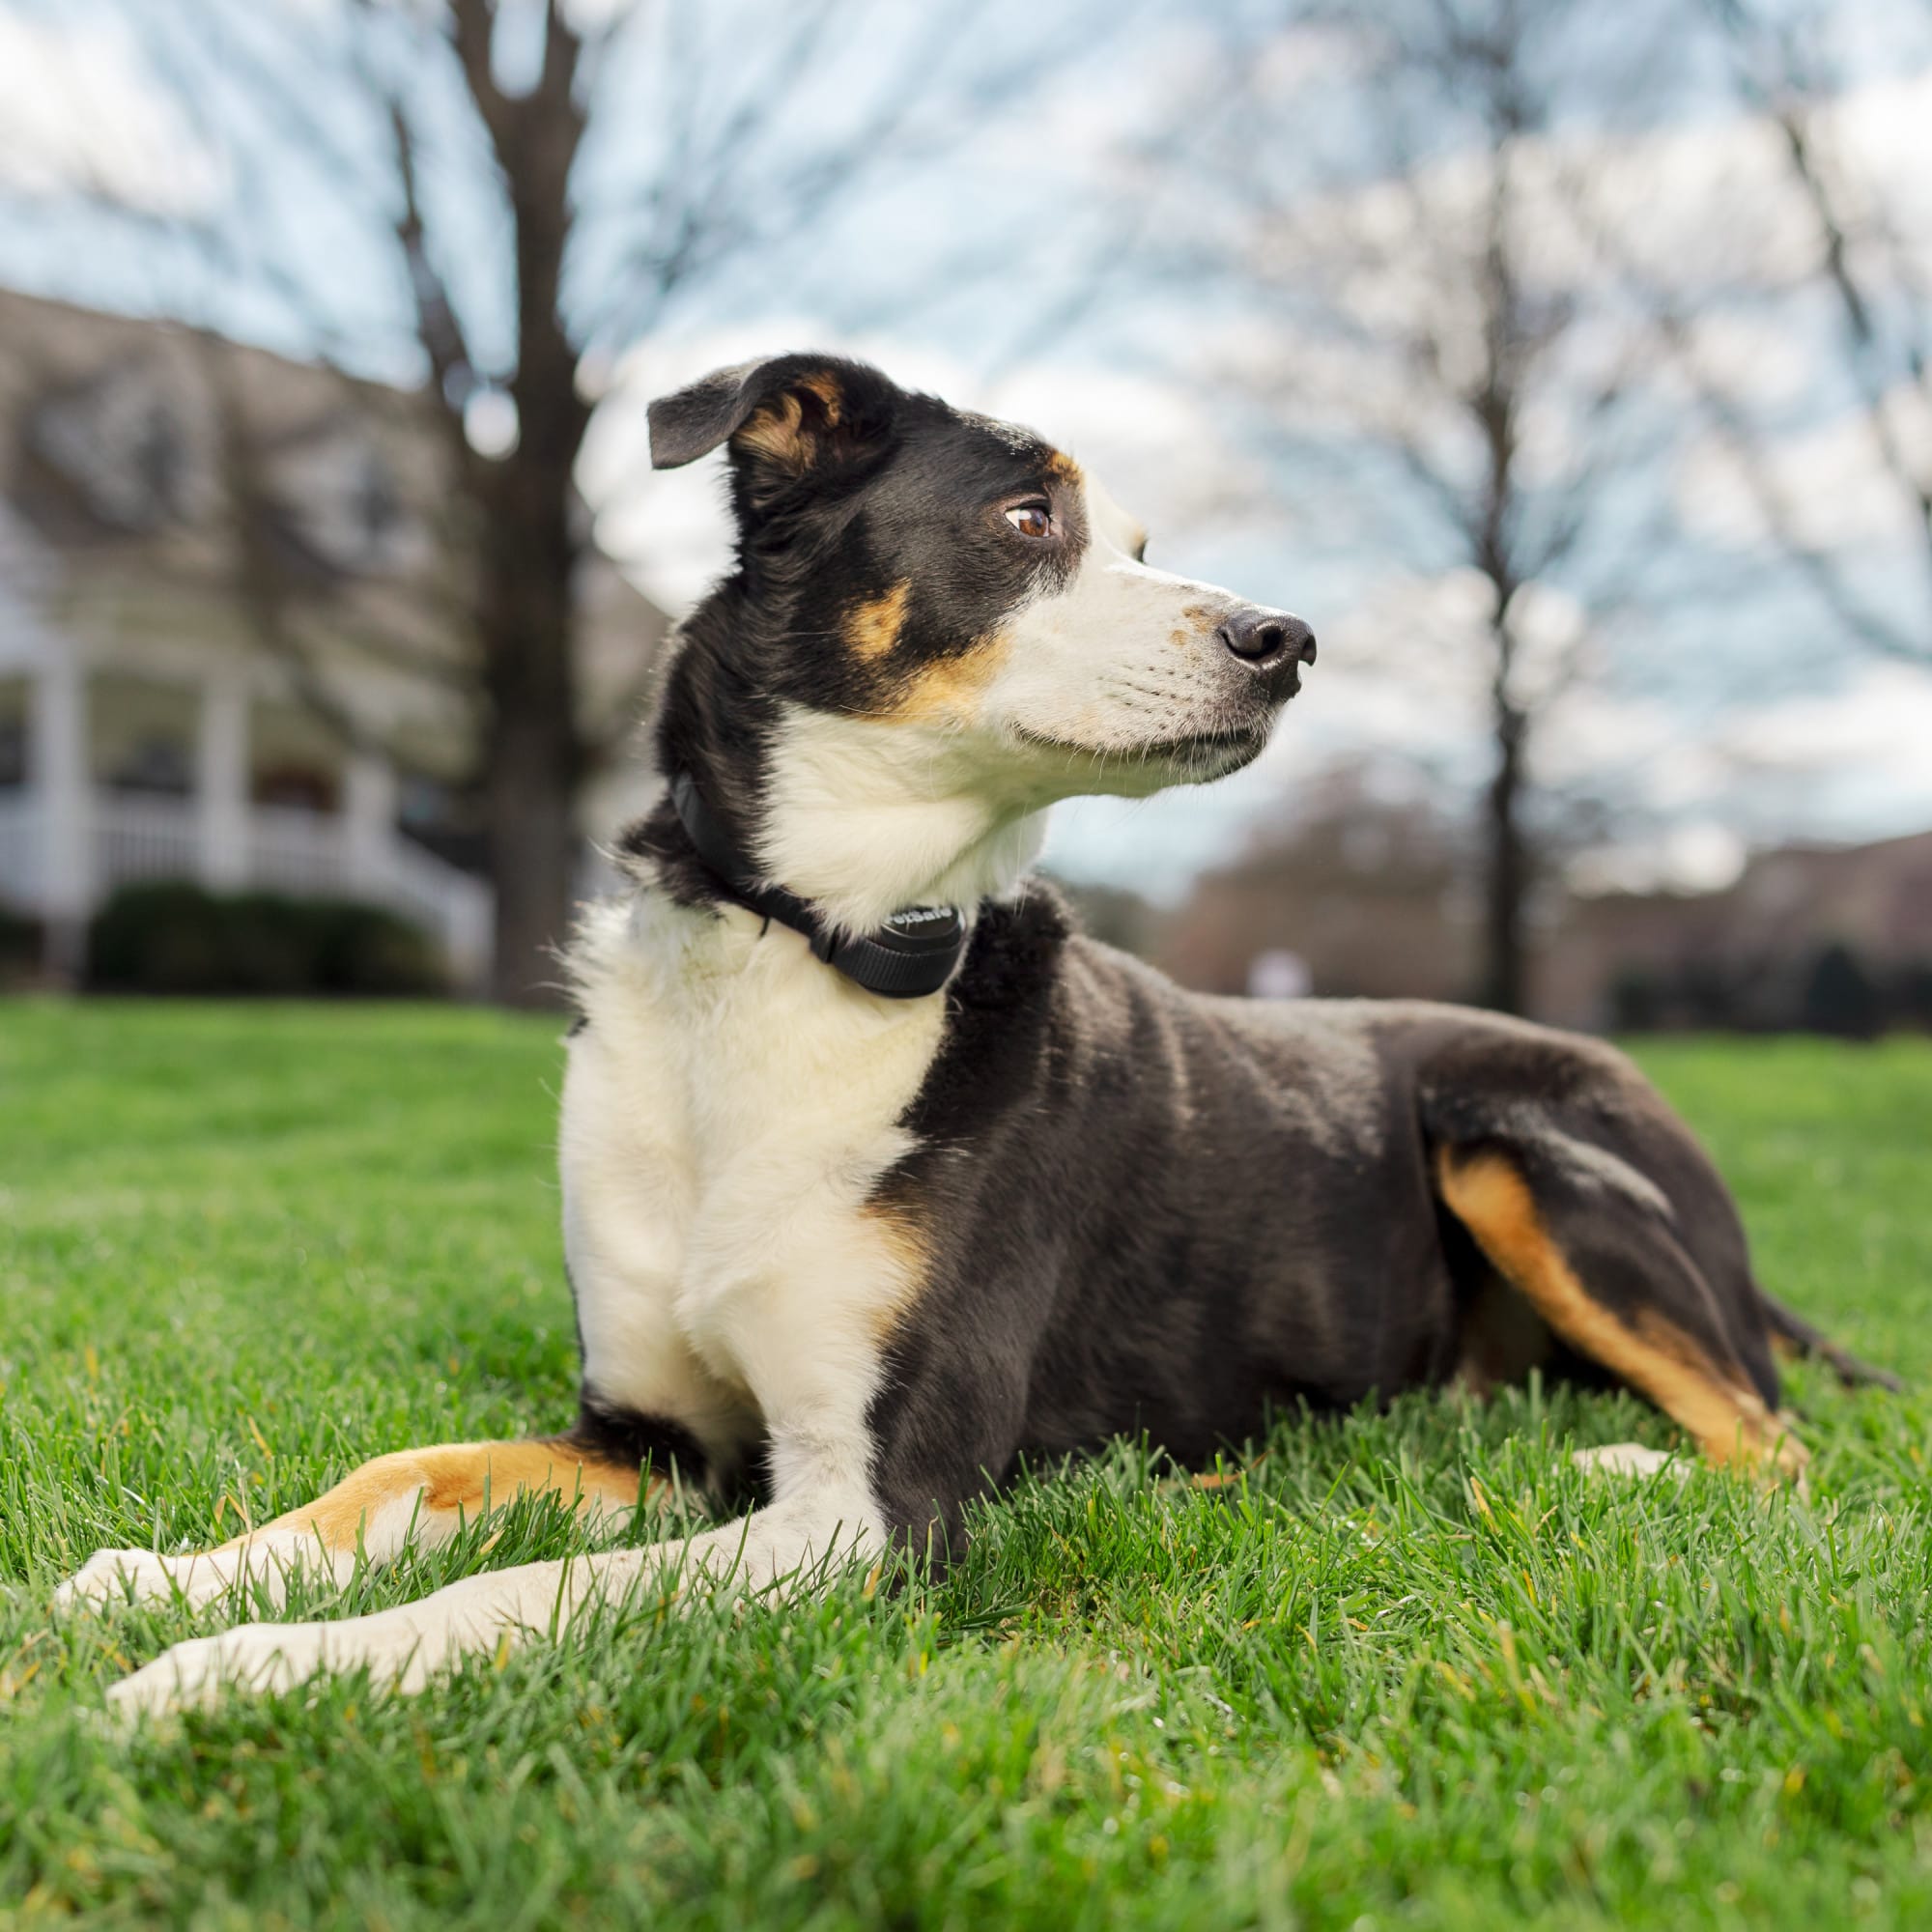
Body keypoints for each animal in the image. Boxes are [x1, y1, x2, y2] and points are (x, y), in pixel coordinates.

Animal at [52, 355, 1893, 1716]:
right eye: (1025, 519)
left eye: (1139, 541)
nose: (1288, 641)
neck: (807, 949)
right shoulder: (646, 1441)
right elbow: (399, 1480)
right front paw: (175, 1578)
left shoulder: (865, 1514)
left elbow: (517, 1593)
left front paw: (238, 1669)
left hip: (1508, 1137)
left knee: (1780, 1445)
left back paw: (1611, 1465)